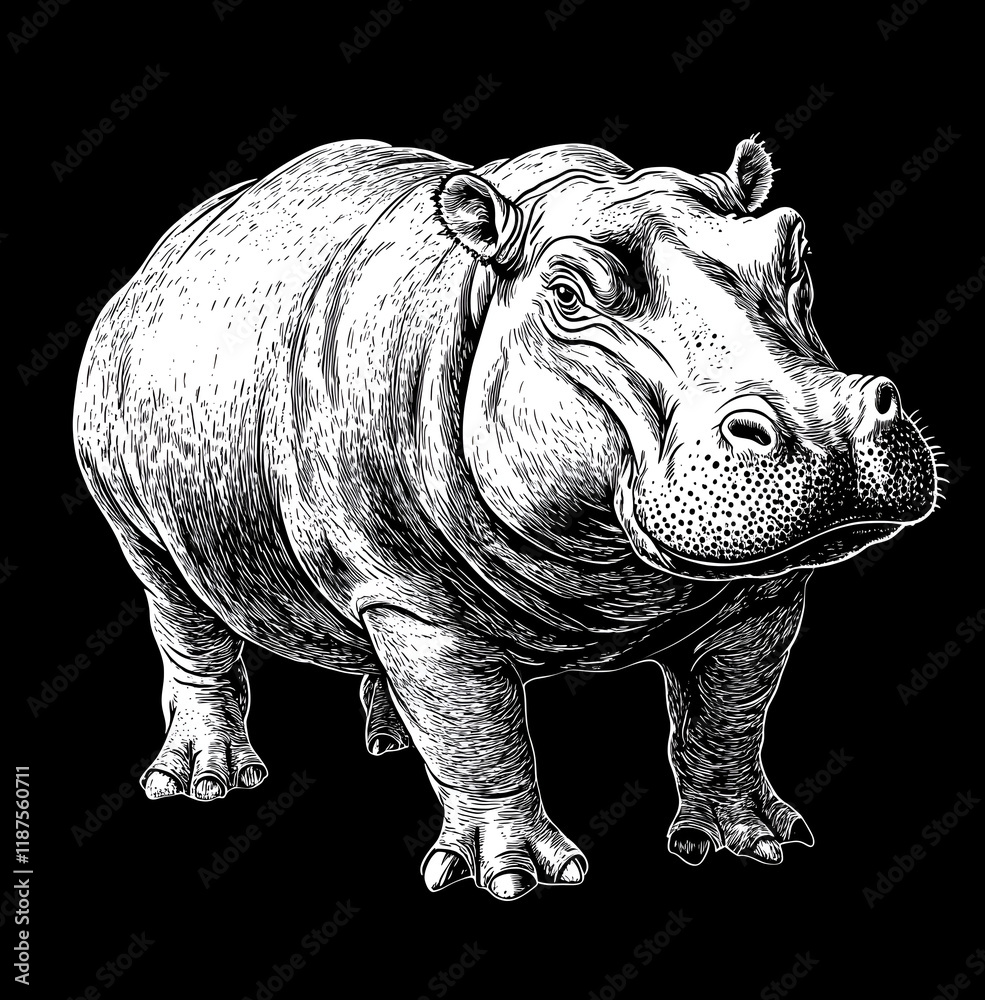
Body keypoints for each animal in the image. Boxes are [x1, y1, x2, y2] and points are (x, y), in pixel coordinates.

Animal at [74, 136, 938, 900]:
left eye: (794, 252)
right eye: (566, 294)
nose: (825, 426)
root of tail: (154, 261)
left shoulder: (761, 592)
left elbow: (729, 710)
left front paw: (752, 843)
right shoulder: (415, 596)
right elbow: (477, 726)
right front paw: (517, 879)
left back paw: (388, 742)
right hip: (130, 495)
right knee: (179, 607)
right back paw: (205, 783)